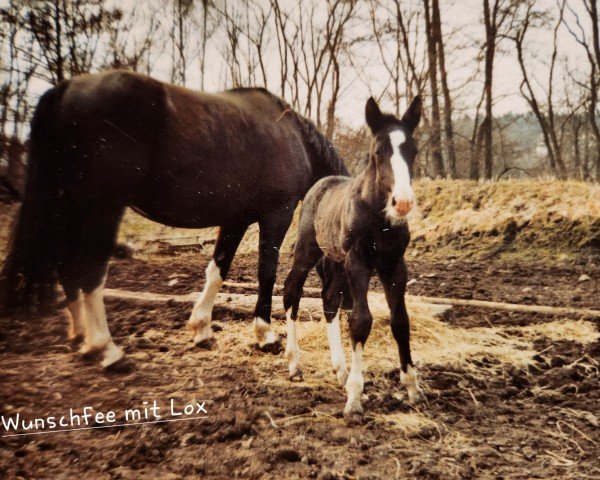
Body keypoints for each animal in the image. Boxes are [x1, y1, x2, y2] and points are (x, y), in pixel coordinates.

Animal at [284, 95, 424, 414]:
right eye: (378, 152)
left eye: (413, 150)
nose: (402, 202)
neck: (379, 218)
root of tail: (319, 185)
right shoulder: (358, 262)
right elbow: (361, 320)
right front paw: (354, 399)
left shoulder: (394, 265)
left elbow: (400, 321)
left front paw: (412, 388)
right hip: (309, 252)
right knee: (291, 290)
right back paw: (294, 364)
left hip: (337, 262)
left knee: (328, 300)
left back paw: (340, 370)